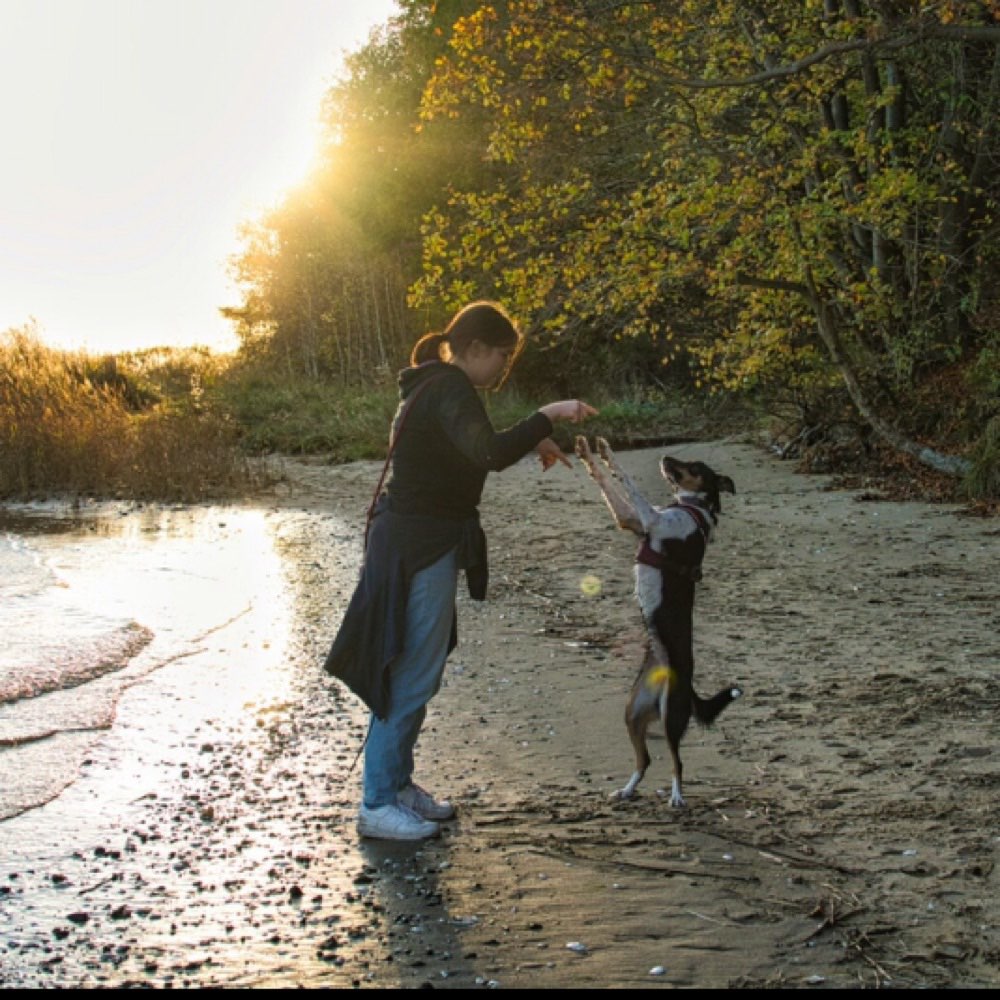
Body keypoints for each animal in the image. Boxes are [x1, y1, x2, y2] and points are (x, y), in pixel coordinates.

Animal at [572, 436, 744, 804]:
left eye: (695, 466)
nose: (665, 456)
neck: (695, 510)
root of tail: (685, 683)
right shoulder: (632, 520)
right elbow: (608, 481)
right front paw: (591, 451)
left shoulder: (648, 518)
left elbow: (625, 480)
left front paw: (606, 455)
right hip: (632, 714)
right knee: (646, 760)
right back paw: (626, 790)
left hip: (671, 716)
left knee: (678, 761)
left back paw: (677, 797)